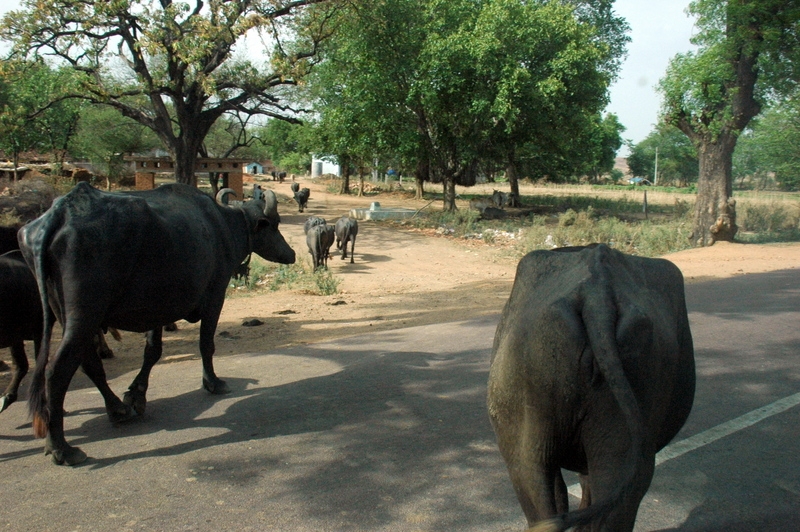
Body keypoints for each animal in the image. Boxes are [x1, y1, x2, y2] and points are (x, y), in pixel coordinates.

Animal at [18, 183, 296, 466]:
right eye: (275, 223)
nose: (292, 254)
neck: (225, 226)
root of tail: (62, 211)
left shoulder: (156, 309)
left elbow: (152, 351)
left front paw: (136, 395)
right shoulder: (215, 295)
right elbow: (206, 344)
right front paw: (213, 382)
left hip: (67, 315)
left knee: (89, 363)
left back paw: (117, 409)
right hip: (84, 316)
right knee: (56, 372)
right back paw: (62, 448)